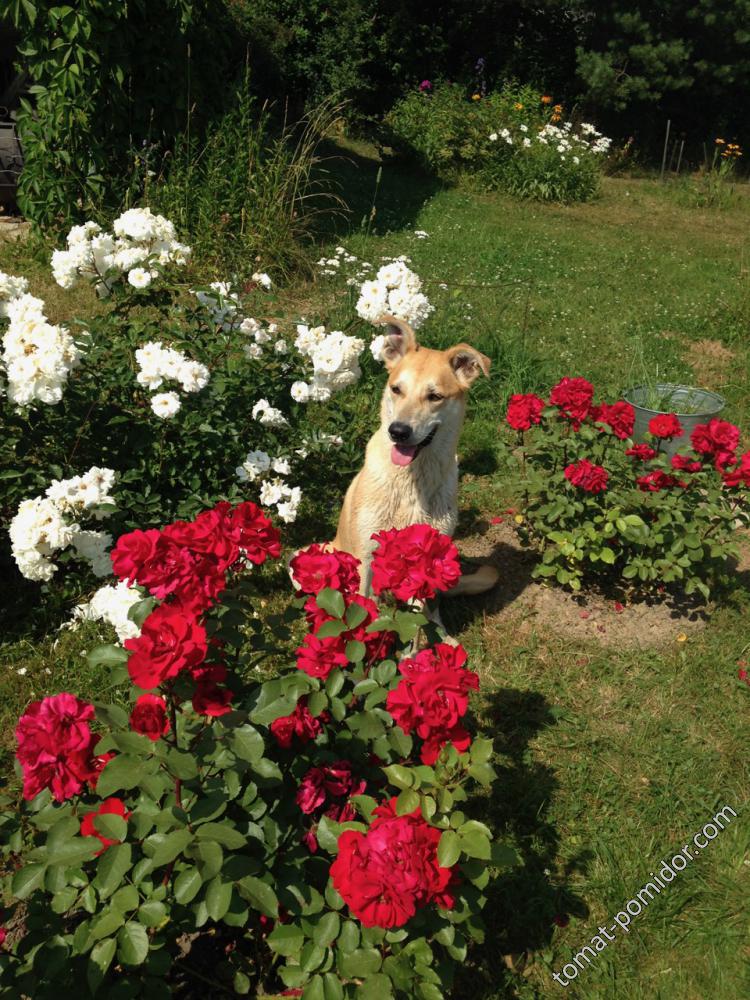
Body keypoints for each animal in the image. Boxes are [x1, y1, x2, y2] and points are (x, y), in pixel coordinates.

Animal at [331, 315, 499, 604]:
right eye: (396, 389)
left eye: (435, 396)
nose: (398, 431)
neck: (412, 479)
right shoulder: (366, 557)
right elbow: (365, 608)